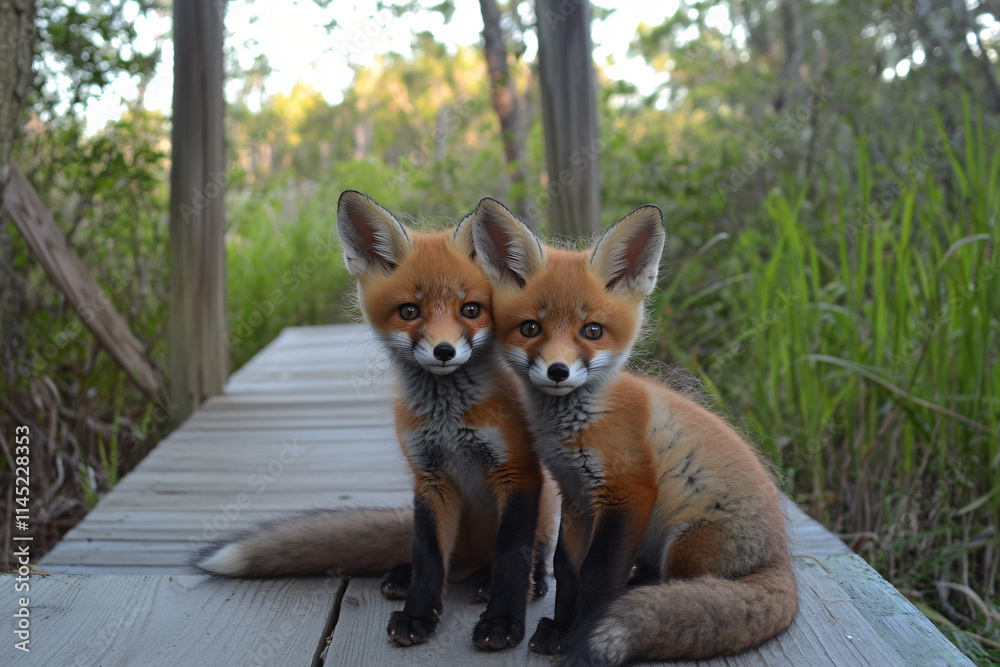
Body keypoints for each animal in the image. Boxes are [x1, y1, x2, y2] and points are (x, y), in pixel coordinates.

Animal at [194, 191, 554, 651]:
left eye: (471, 309)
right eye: (410, 311)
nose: (443, 351)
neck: (449, 421)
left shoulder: (517, 472)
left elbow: (511, 557)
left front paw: (503, 622)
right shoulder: (429, 478)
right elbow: (427, 554)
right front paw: (418, 613)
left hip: (545, 505)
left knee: (527, 555)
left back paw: (512, 581)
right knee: (438, 556)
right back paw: (407, 575)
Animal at [470, 197, 799, 665]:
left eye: (592, 331)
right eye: (531, 328)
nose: (557, 371)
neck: (578, 423)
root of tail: (782, 560)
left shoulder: (628, 493)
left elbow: (596, 574)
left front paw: (577, 637)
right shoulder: (576, 497)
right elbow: (567, 569)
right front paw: (560, 628)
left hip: (685, 545)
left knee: (679, 588)